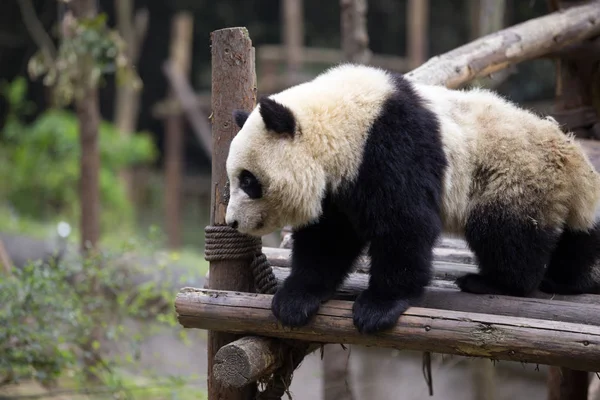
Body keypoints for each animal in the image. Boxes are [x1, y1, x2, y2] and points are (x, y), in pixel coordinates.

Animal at [224, 63, 600, 334]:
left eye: (249, 180)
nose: (232, 222)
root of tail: (574, 158)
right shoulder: (339, 184)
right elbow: (328, 239)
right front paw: (295, 299)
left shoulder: (391, 145)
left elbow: (403, 224)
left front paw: (378, 307)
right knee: (574, 241)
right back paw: (565, 279)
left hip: (513, 176)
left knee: (506, 235)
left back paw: (491, 282)